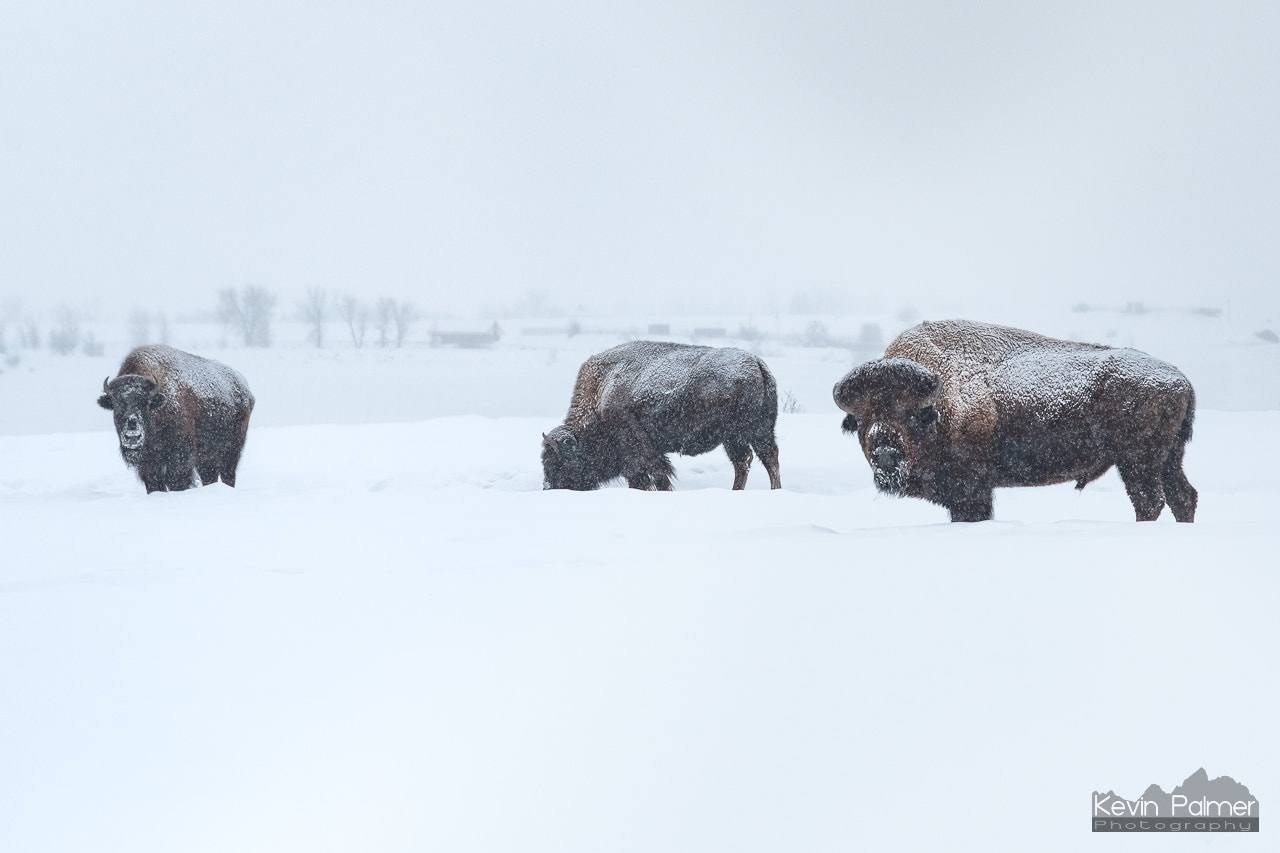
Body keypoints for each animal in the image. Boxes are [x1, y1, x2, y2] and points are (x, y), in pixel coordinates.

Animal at [96, 343, 254, 491]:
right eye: (117, 405)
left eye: (146, 403)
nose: (132, 435)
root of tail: (245, 389)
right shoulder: (148, 466)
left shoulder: (179, 458)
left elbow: (177, 482)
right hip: (207, 457)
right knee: (210, 475)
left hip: (232, 449)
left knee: (228, 474)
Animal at [540, 335, 778, 489]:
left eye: (557, 462)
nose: (549, 487)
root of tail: (757, 362)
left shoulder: (640, 453)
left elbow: (655, 476)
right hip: (753, 432)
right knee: (761, 459)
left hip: (739, 433)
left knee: (750, 460)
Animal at [834, 317, 1192, 522]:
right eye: (861, 418)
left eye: (910, 414)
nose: (885, 455)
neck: (938, 402)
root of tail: (1181, 380)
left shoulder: (971, 492)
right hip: (1168, 459)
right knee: (1183, 497)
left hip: (1138, 462)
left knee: (1150, 501)